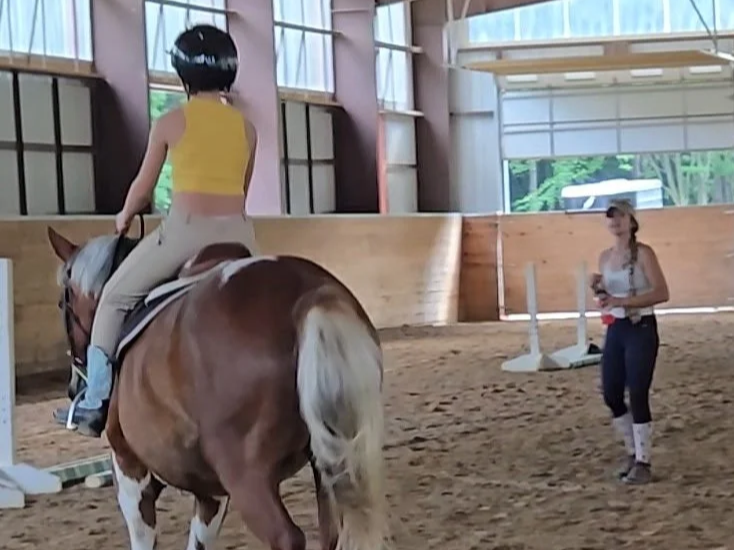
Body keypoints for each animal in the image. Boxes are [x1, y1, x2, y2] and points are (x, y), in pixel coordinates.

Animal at [47, 223, 388, 550]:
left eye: (62, 302)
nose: (72, 386)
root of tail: (307, 294)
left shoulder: (129, 466)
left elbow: (143, 537)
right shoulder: (211, 490)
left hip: (245, 475)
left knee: (287, 537)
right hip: (331, 462)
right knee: (332, 531)